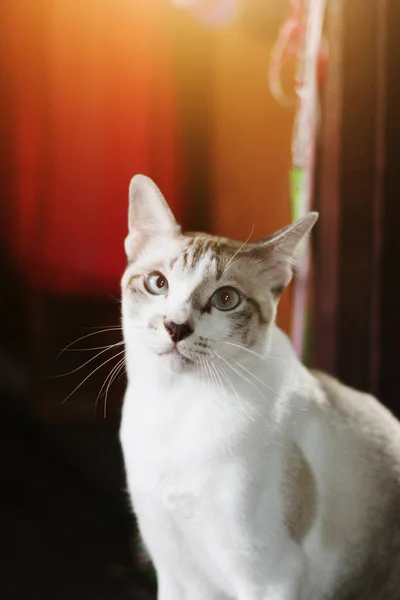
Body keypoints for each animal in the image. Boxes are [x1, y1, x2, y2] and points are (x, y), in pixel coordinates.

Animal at [120, 175, 400, 600]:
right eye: (157, 284)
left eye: (226, 299)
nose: (176, 327)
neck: (177, 406)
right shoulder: (175, 572)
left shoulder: (268, 579)